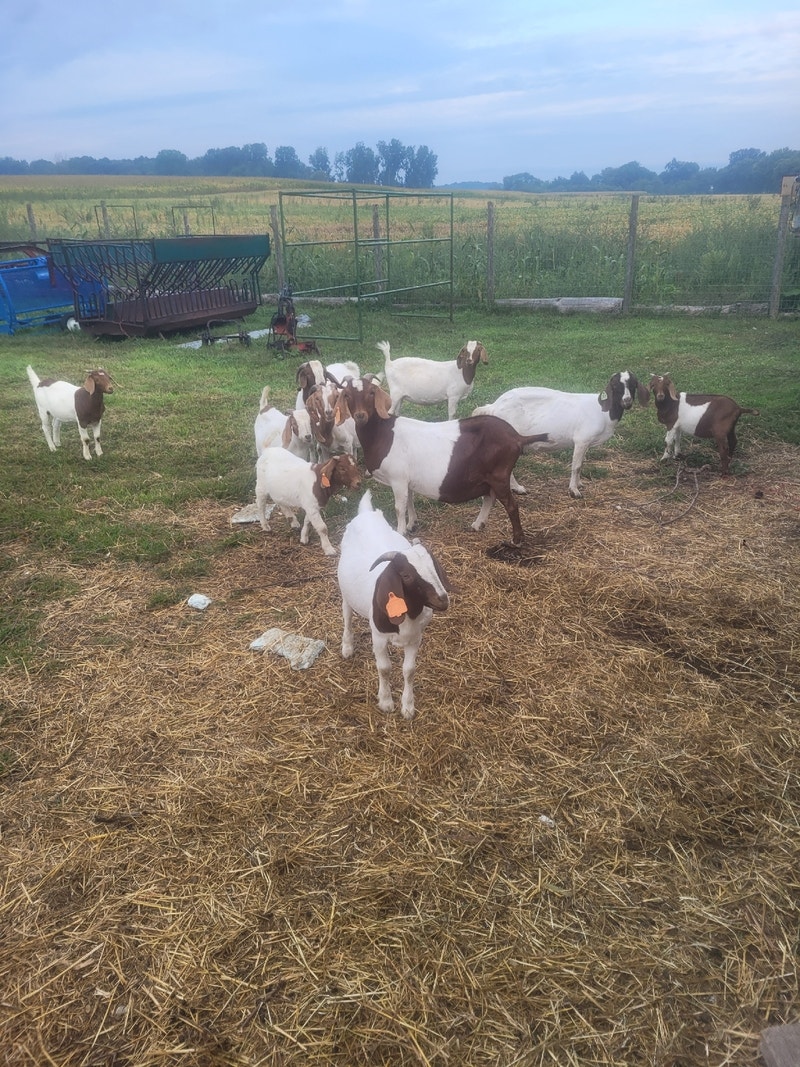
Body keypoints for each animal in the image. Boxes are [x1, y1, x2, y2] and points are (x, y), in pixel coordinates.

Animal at [337, 490, 450, 719]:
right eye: (406, 575)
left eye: (434, 566)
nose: (442, 599)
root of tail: (366, 513)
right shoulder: (379, 637)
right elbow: (384, 668)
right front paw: (386, 702)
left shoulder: (415, 638)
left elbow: (409, 670)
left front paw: (407, 706)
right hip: (345, 592)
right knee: (347, 615)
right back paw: (347, 646)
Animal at [339, 377, 548, 546]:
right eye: (347, 395)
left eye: (371, 392)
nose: (360, 416)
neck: (382, 434)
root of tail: (517, 437)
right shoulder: (406, 479)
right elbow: (410, 500)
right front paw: (412, 524)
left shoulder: (397, 478)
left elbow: (399, 507)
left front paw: (400, 532)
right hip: (488, 476)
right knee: (489, 497)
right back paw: (477, 525)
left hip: (499, 474)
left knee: (510, 505)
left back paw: (517, 539)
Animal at [472, 371, 649, 498]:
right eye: (616, 385)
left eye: (633, 384)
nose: (627, 402)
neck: (603, 411)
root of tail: (493, 407)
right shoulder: (581, 440)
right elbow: (576, 466)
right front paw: (574, 491)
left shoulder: (585, 444)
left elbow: (581, 464)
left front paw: (580, 484)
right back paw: (518, 489)